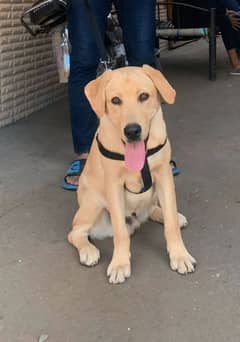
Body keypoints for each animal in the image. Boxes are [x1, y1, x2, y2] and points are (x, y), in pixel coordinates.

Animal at [67, 64, 195, 284]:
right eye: (115, 100)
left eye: (144, 96)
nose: (132, 131)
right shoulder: (113, 186)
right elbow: (120, 232)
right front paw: (119, 264)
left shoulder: (164, 176)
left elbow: (170, 223)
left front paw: (179, 255)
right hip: (93, 203)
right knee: (76, 232)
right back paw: (88, 251)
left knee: (153, 210)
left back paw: (170, 215)